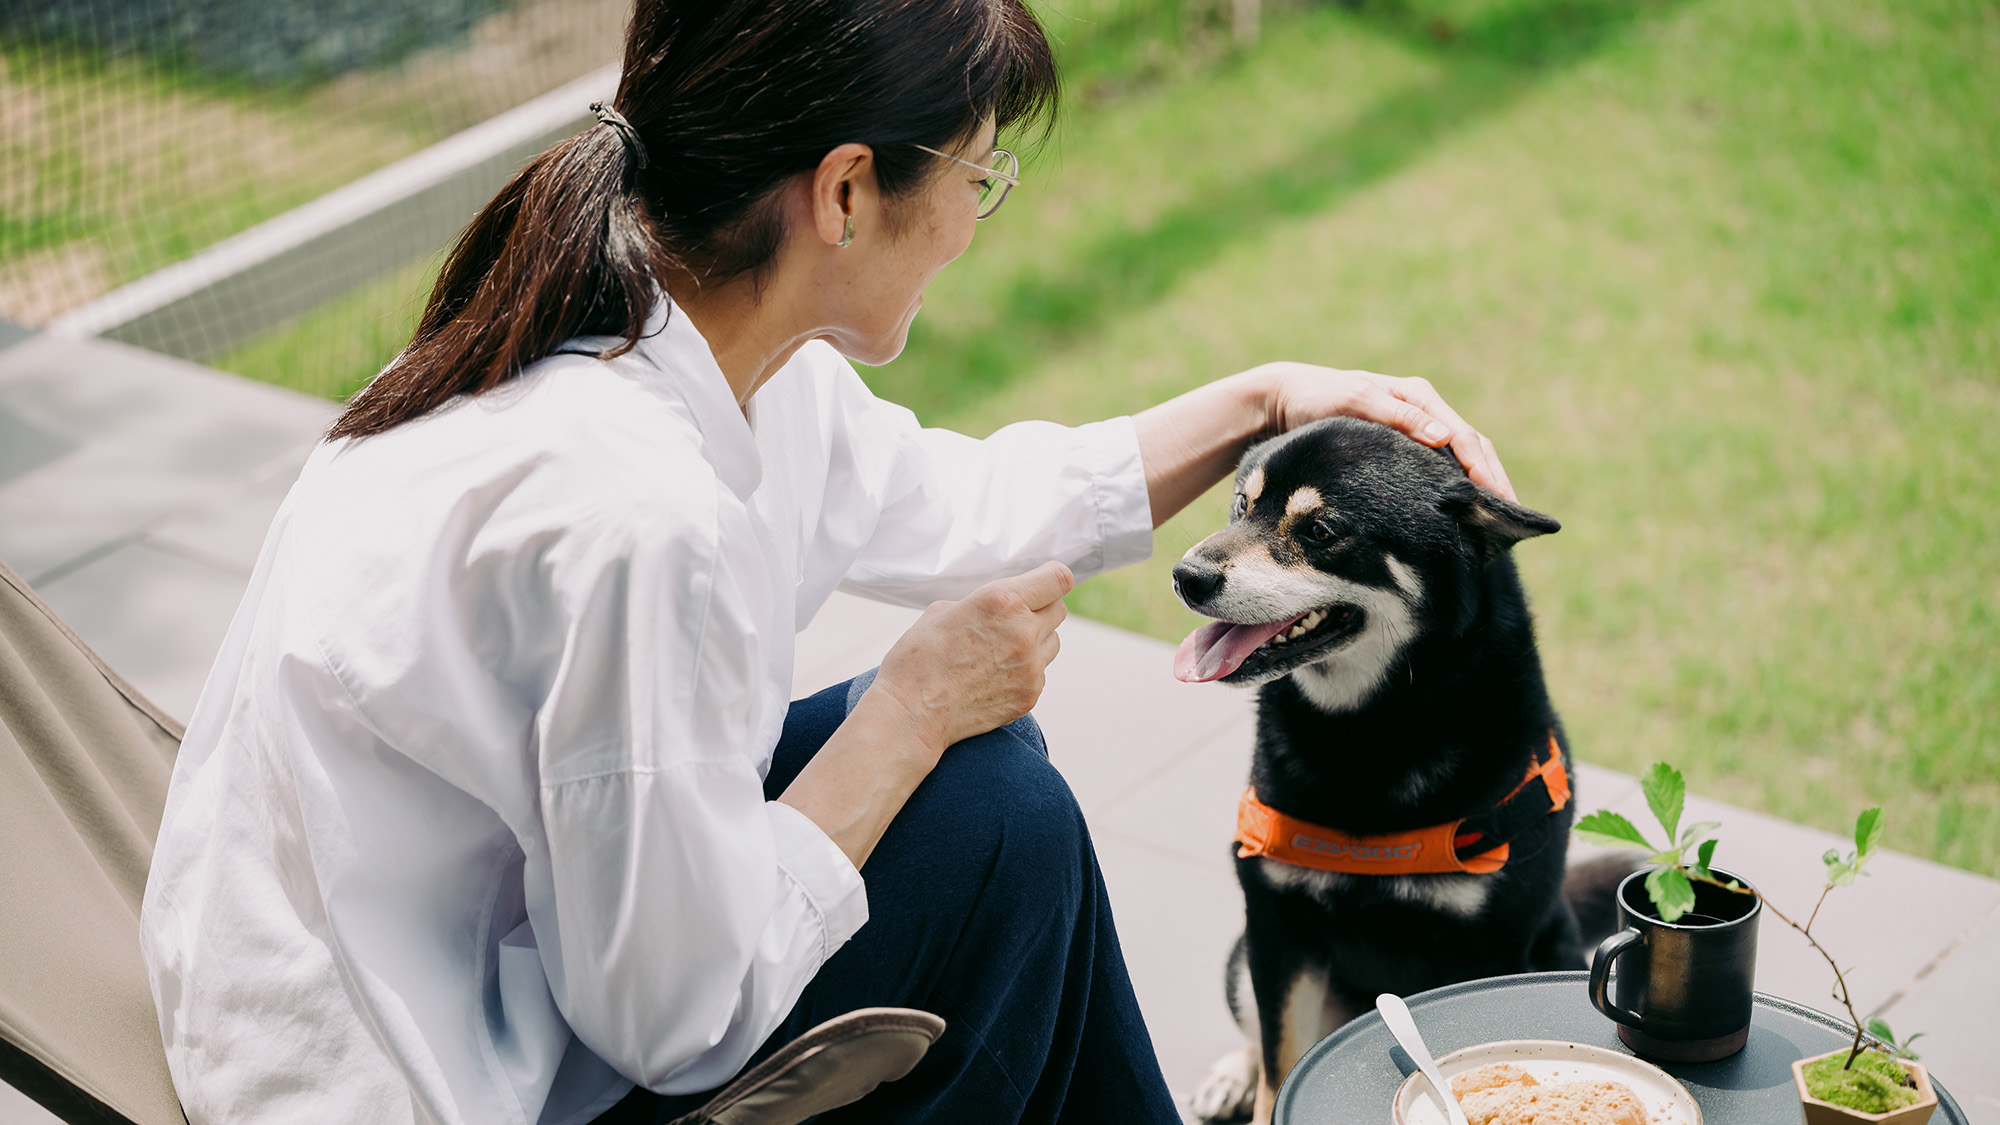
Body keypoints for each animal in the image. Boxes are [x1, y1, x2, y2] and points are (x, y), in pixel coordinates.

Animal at [1168, 416, 1624, 1112]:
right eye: (1242, 506)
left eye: (1319, 531)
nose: (1186, 575)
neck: (1370, 731)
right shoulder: (1279, 924)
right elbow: (1278, 1070)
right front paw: (1254, 1081)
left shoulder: (1485, 947)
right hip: (1244, 955)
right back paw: (1231, 1074)